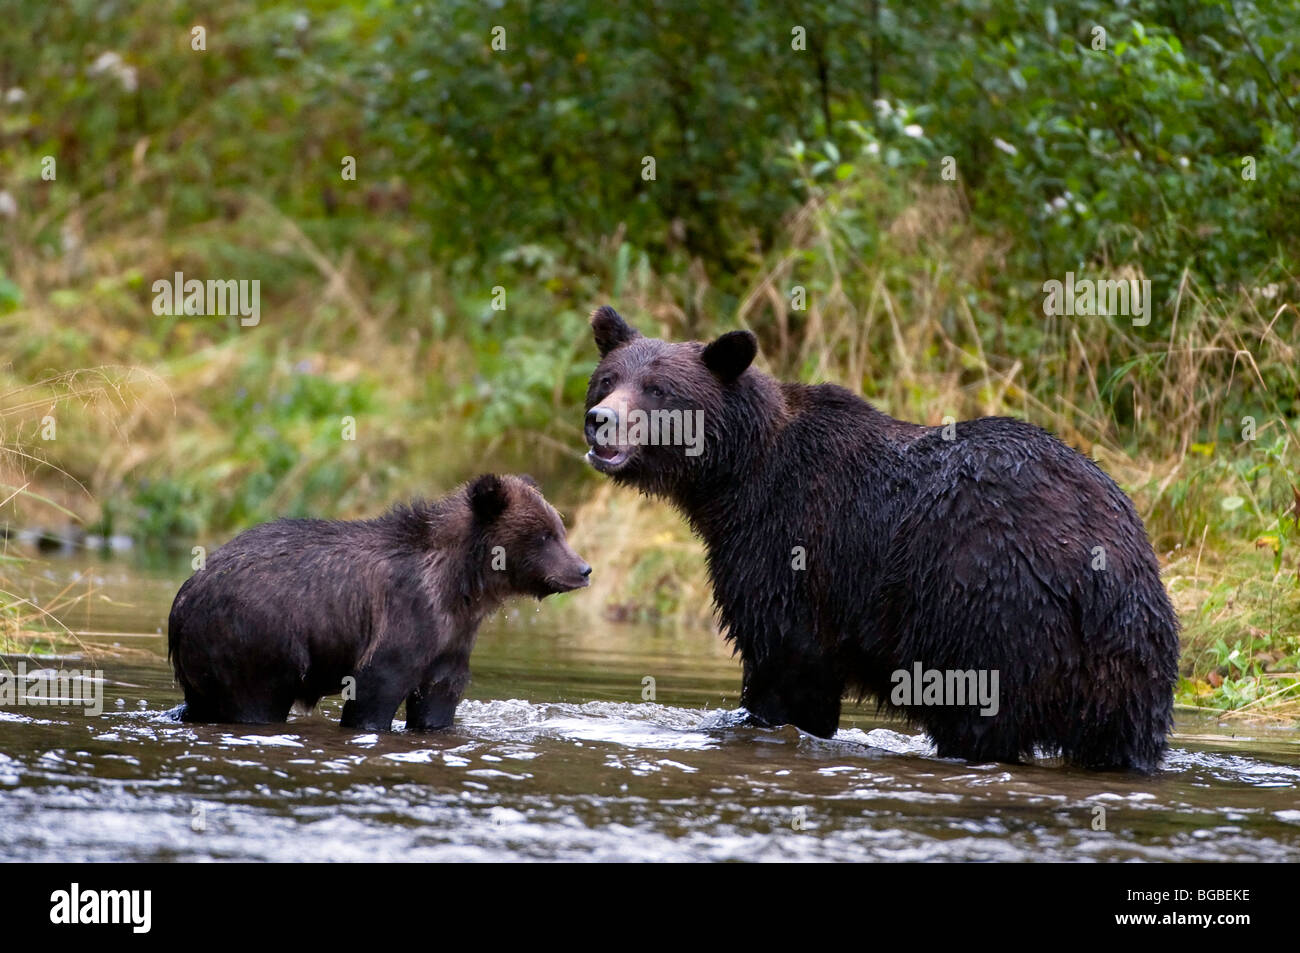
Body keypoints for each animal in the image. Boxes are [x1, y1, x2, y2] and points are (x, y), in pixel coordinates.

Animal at [585, 308, 1185, 769]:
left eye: (658, 390)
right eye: (608, 379)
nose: (600, 420)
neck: (733, 478)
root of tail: (1095, 576)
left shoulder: (790, 543)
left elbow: (785, 660)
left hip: (987, 610)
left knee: (978, 719)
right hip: (1135, 661)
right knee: (1125, 739)